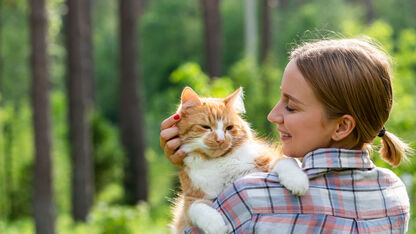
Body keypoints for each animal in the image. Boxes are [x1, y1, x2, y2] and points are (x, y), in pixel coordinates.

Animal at [169, 87, 308, 233]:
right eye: (206, 127)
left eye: (229, 128)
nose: (220, 140)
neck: (219, 161)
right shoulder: (190, 200)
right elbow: (196, 208)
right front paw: (216, 226)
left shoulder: (269, 158)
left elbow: (286, 162)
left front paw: (297, 181)